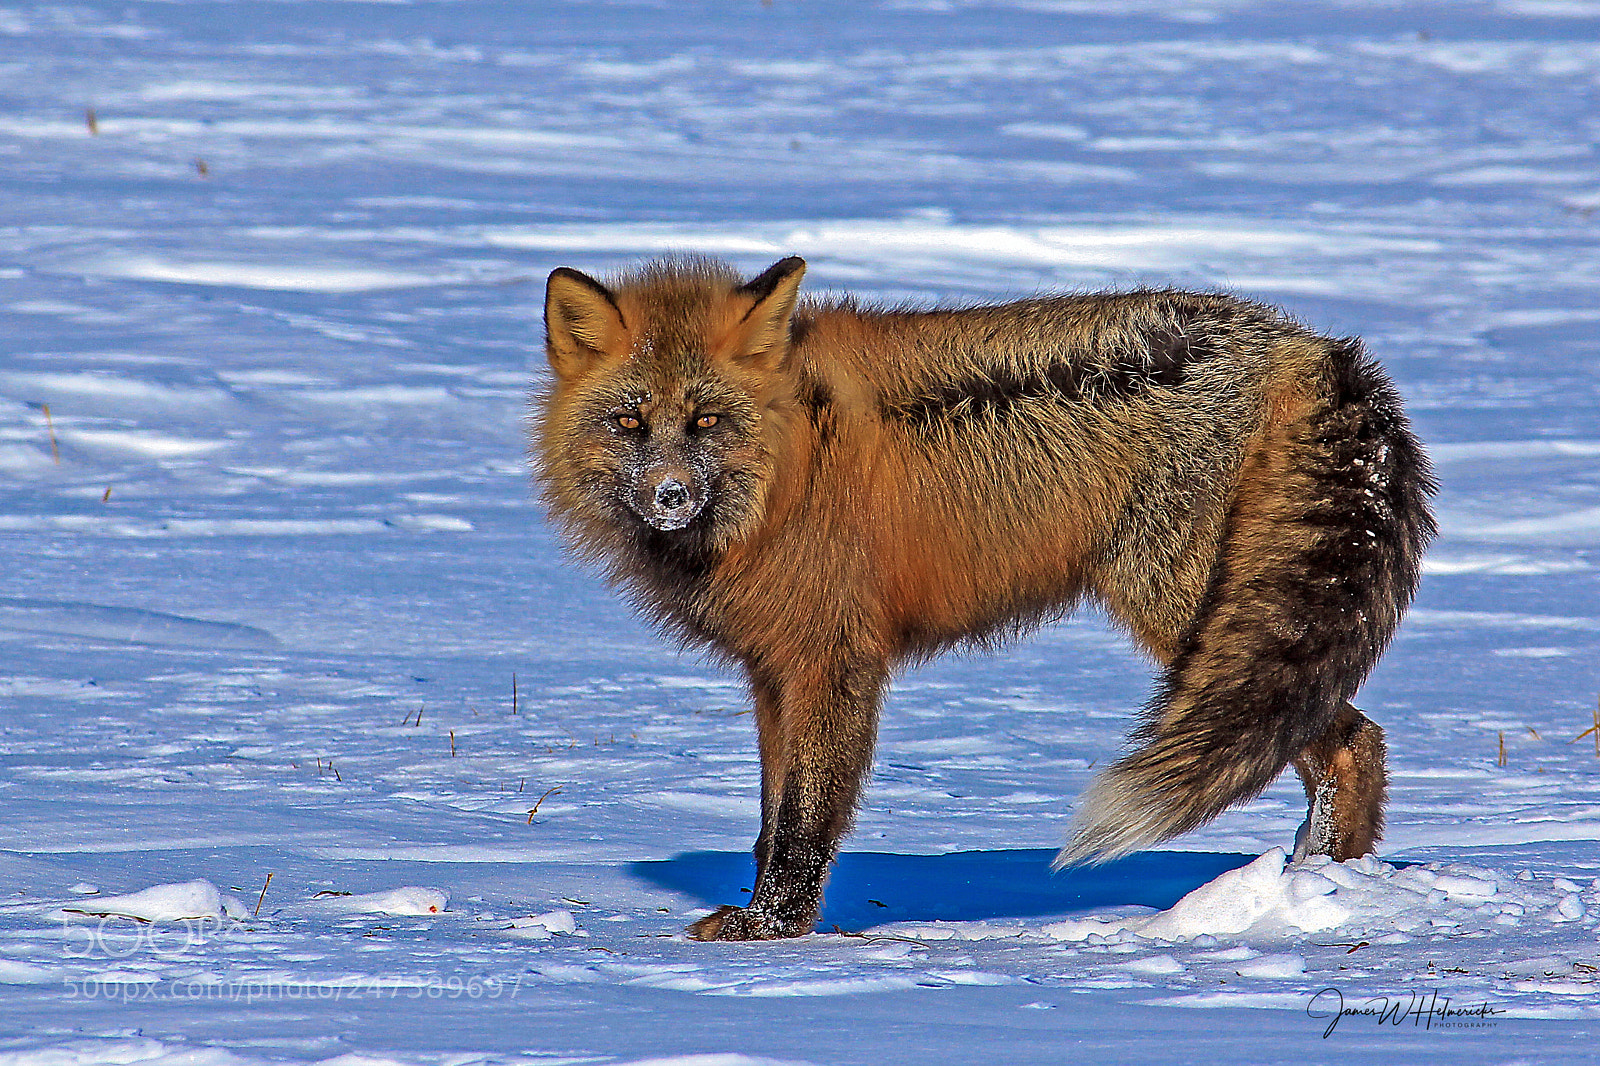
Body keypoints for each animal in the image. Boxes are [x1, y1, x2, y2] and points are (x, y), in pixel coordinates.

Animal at [531, 253, 1436, 942]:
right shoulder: (772, 672)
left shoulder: (833, 662)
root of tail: (1305, 343)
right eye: (629, 424)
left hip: (1186, 614)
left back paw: (1320, 892)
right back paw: (1328, 885)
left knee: (1351, 741)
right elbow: (768, 822)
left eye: (708, 421)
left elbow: (803, 825)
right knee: (1351, 741)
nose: (671, 495)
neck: (792, 465)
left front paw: (774, 934)